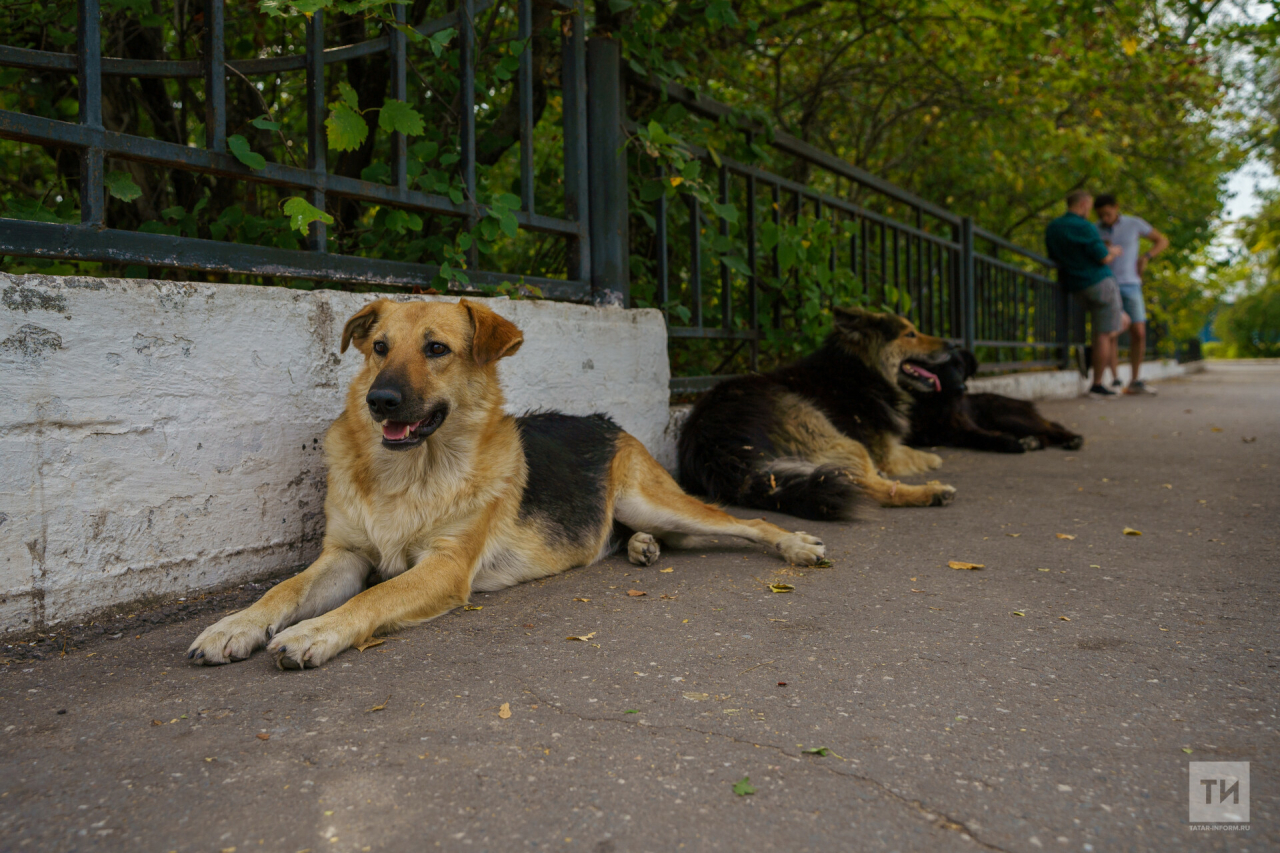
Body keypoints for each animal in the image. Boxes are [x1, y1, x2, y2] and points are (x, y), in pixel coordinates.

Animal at [186, 295, 824, 666]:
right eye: (379, 348)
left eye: (436, 349)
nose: (379, 401)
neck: (410, 474)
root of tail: (606, 420)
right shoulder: (343, 556)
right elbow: (283, 590)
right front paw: (234, 626)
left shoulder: (444, 568)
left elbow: (375, 595)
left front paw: (314, 633)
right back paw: (641, 547)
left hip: (651, 499)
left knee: (746, 522)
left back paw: (797, 544)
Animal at [680, 306, 962, 517]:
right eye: (910, 334)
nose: (952, 345)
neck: (862, 369)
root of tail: (714, 445)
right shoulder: (885, 452)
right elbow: (909, 454)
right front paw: (932, 460)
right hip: (833, 435)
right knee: (868, 488)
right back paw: (933, 492)